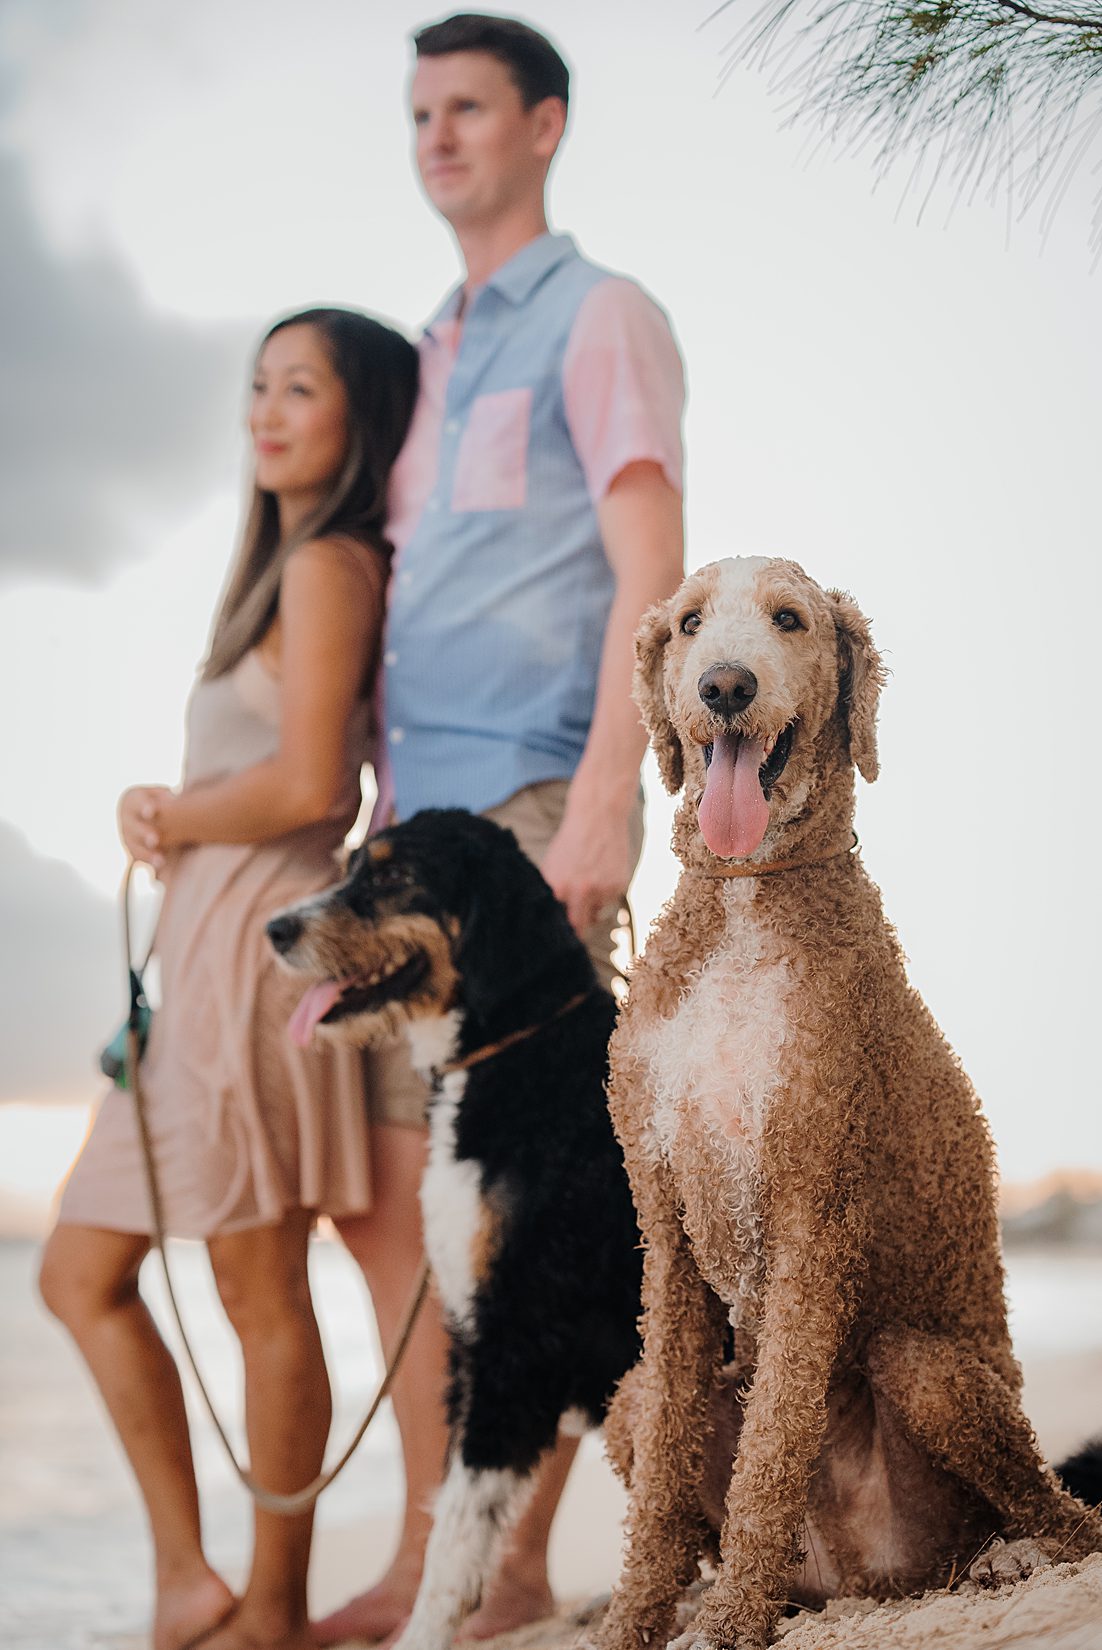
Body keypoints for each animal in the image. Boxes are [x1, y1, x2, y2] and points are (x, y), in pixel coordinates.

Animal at [267, 808, 640, 1650]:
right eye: (352, 864)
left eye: (394, 876)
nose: (276, 928)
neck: (521, 1051)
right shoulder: (473, 1335)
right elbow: (455, 1509)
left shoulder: (516, 1334)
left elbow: (458, 1527)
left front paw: (422, 1633)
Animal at [597, 557, 1095, 1650]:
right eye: (688, 623)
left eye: (789, 618)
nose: (725, 687)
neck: (745, 903)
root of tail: (852, 1577)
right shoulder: (664, 1216)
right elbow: (659, 1491)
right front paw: (636, 1621)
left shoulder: (811, 1210)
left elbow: (776, 1437)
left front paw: (733, 1618)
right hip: (627, 1394)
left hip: (929, 1369)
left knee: (1061, 1514)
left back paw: (1003, 1560)